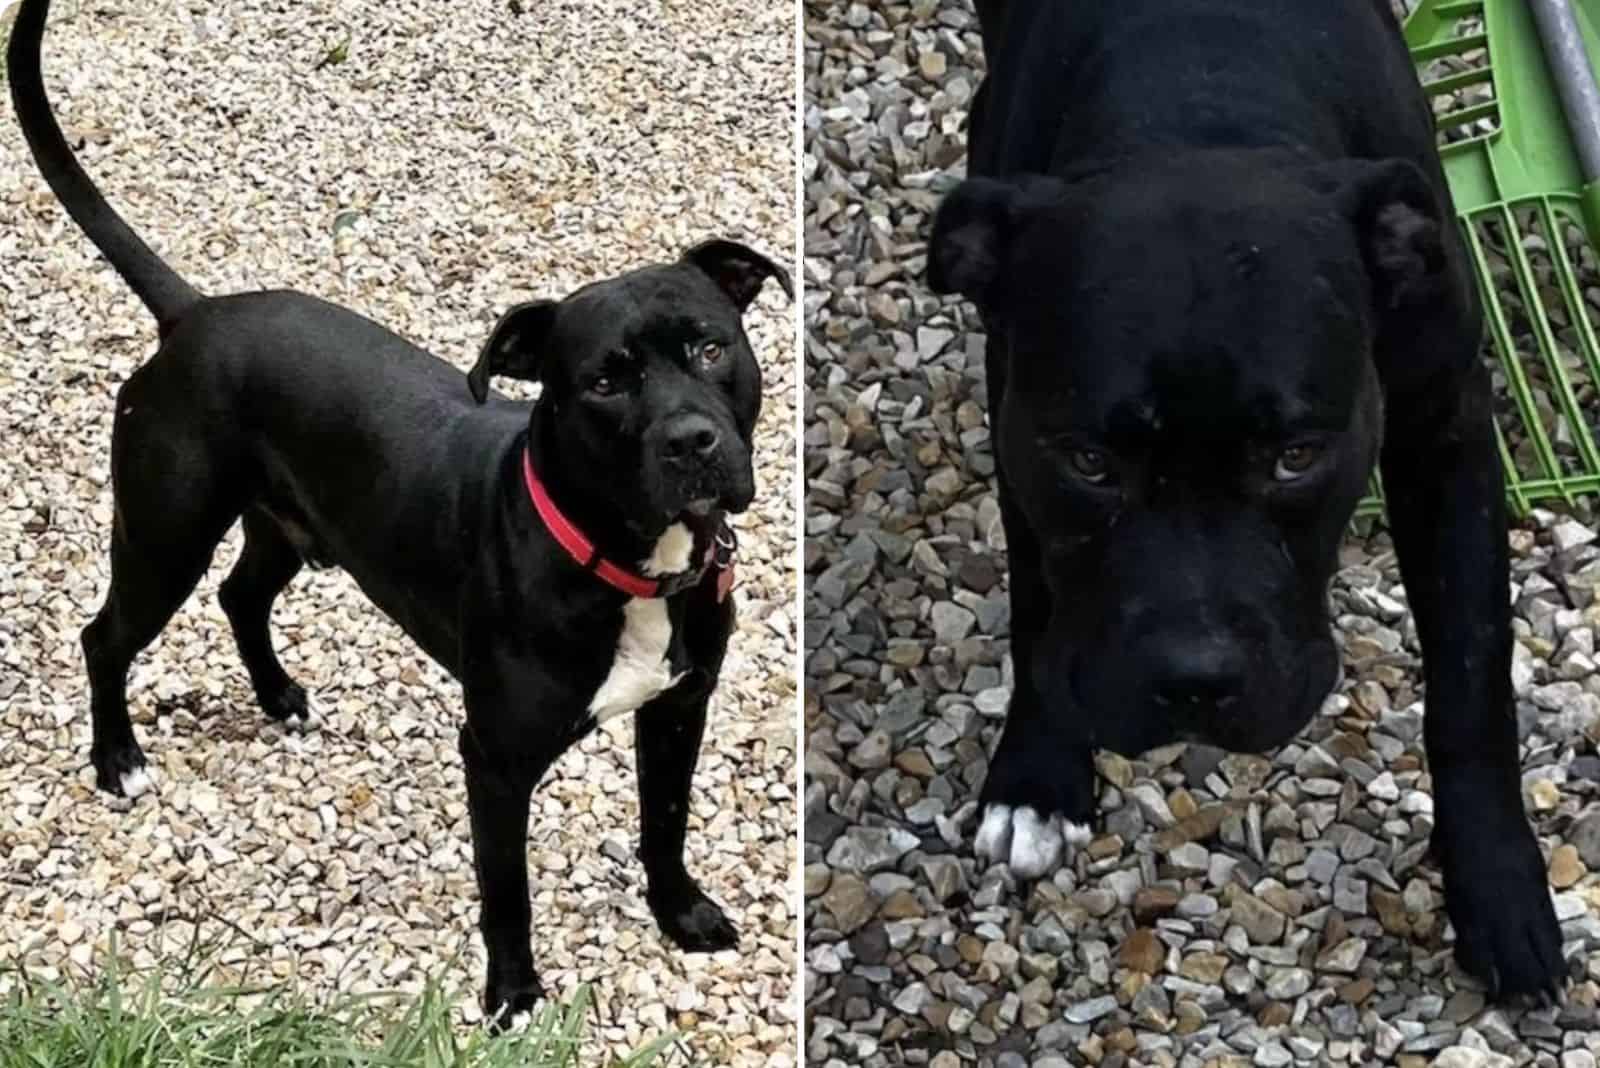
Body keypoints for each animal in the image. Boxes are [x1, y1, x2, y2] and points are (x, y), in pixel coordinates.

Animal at [9, 0, 790, 1023]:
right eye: (604, 382)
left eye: (710, 346)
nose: (692, 441)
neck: (624, 562)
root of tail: (195, 313)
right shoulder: (496, 757)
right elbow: (508, 891)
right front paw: (513, 996)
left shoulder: (678, 709)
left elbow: (665, 825)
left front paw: (682, 914)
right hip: (164, 535)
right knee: (106, 637)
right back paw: (118, 760)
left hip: (283, 527)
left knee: (240, 596)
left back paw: (277, 696)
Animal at [928, 0, 1561, 1004]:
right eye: (1093, 464)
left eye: (1296, 458)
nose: (1194, 680)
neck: (1201, 97)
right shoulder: (1022, 429)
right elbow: (1039, 606)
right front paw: (1037, 775)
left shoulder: (1445, 426)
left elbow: (1470, 672)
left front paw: (1499, 888)